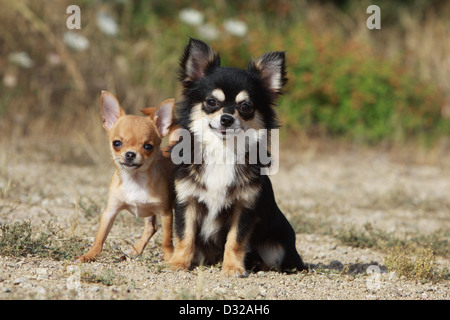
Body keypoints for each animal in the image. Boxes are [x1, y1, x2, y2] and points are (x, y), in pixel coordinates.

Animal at [76, 90, 175, 262]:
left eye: (148, 146)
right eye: (117, 143)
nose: (130, 154)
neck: (134, 180)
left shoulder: (166, 213)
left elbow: (166, 240)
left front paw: (169, 258)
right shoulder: (110, 212)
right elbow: (100, 237)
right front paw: (89, 255)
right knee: (151, 227)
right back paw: (135, 250)